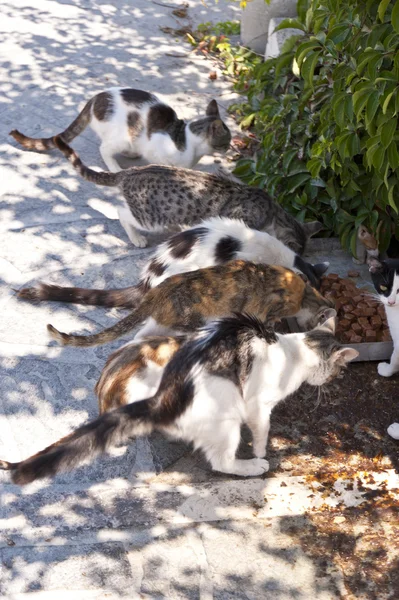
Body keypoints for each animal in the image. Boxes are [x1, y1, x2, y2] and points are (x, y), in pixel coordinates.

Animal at [0, 310, 358, 482]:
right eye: (337, 370)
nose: (334, 381)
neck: (292, 349)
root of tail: (164, 397)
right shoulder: (258, 405)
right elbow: (262, 430)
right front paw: (261, 450)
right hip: (226, 415)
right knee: (221, 462)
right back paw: (252, 466)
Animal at [9, 86, 231, 172]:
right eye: (227, 141)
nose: (230, 148)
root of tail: (95, 98)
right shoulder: (156, 149)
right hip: (123, 136)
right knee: (104, 149)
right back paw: (115, 166)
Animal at [46, 260, 334, 350]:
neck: (304, 292)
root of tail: (156, 291)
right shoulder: (268, 309)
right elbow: (267, 323)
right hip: (191, 320)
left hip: (163, 320)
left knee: (141, 335)